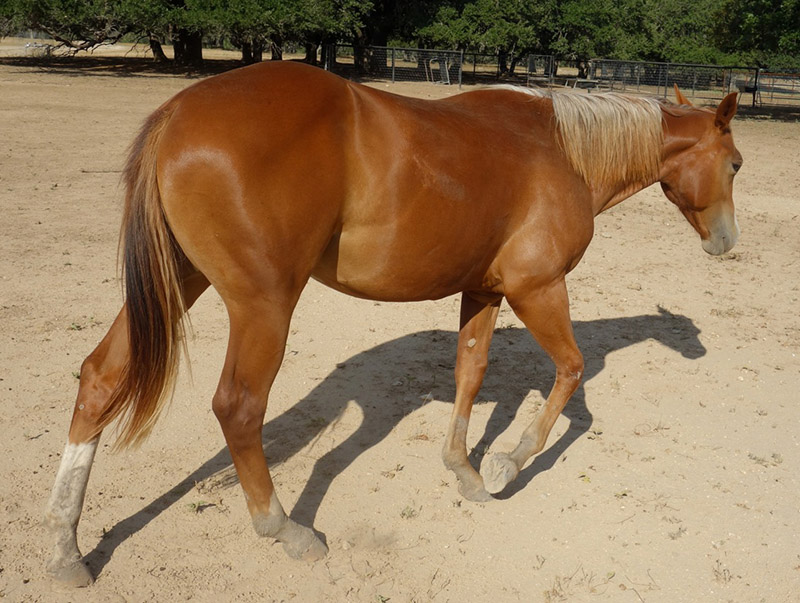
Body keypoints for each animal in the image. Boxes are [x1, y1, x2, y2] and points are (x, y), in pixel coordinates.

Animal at [43, 63, 744, 588]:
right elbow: (571, 373)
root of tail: (177, 112)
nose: (727, 242)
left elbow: (470, 371)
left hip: (181, 282)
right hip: (263, 304)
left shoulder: (483, 289)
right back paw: (285, 529)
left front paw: (464, 469)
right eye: (735, 163)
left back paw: (65, 549)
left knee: (100, 379)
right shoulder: (537, 289)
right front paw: (506, 466)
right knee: (239, 407)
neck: (561, 151)